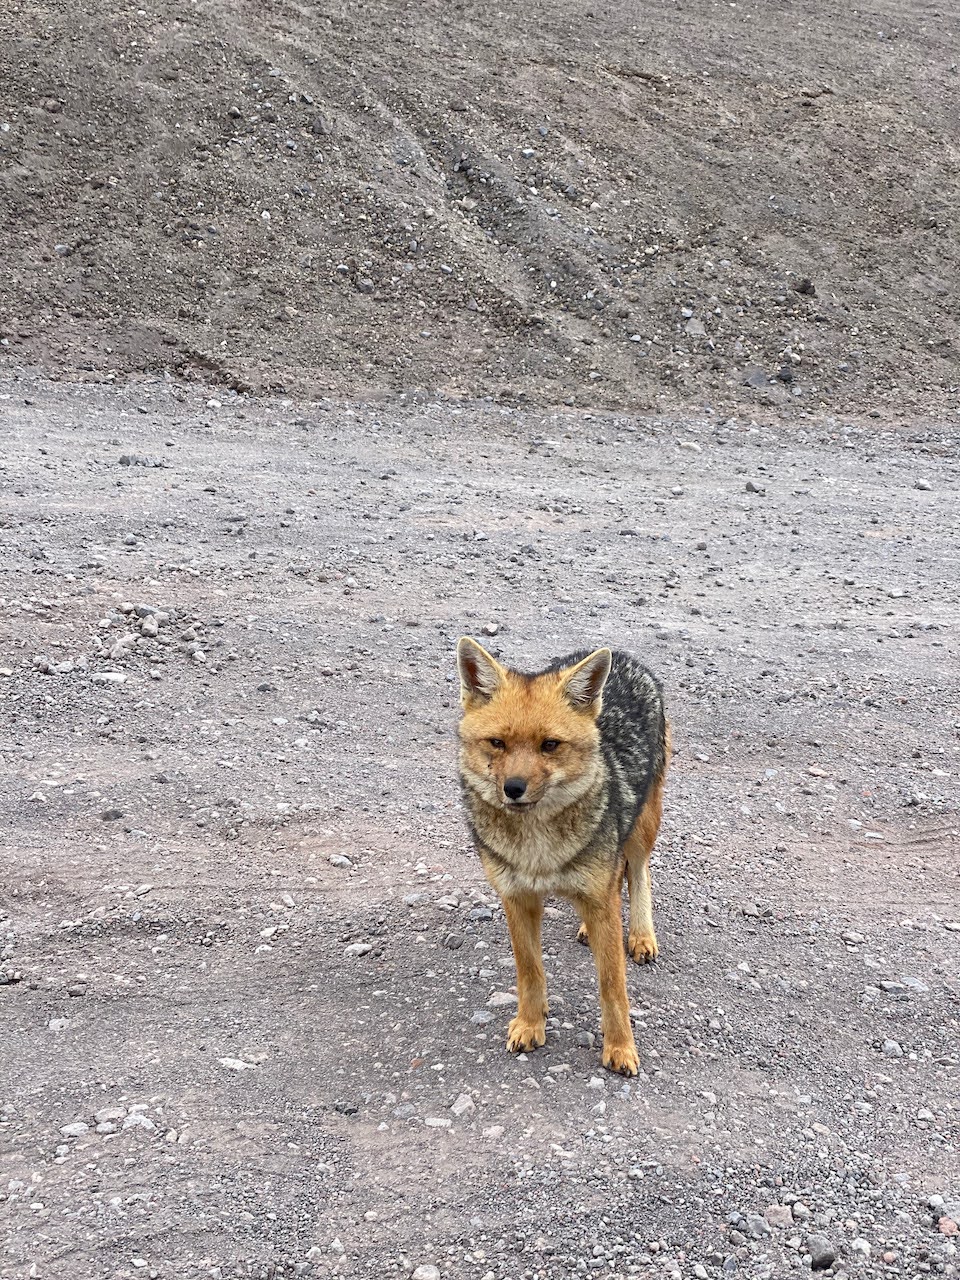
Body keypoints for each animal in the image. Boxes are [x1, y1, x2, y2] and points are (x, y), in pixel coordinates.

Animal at [455, 634, 670, 1075]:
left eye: (549, 746)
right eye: (497, 743)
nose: (513, 788)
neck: (538, 848)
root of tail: (624, 656)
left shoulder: (599, 894)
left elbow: (612, 984)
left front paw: (620, 1047)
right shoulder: (516, 897)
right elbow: (530, 970)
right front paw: (529, 1024)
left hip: (643, 827)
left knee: (638, 874)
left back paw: (641, 935)